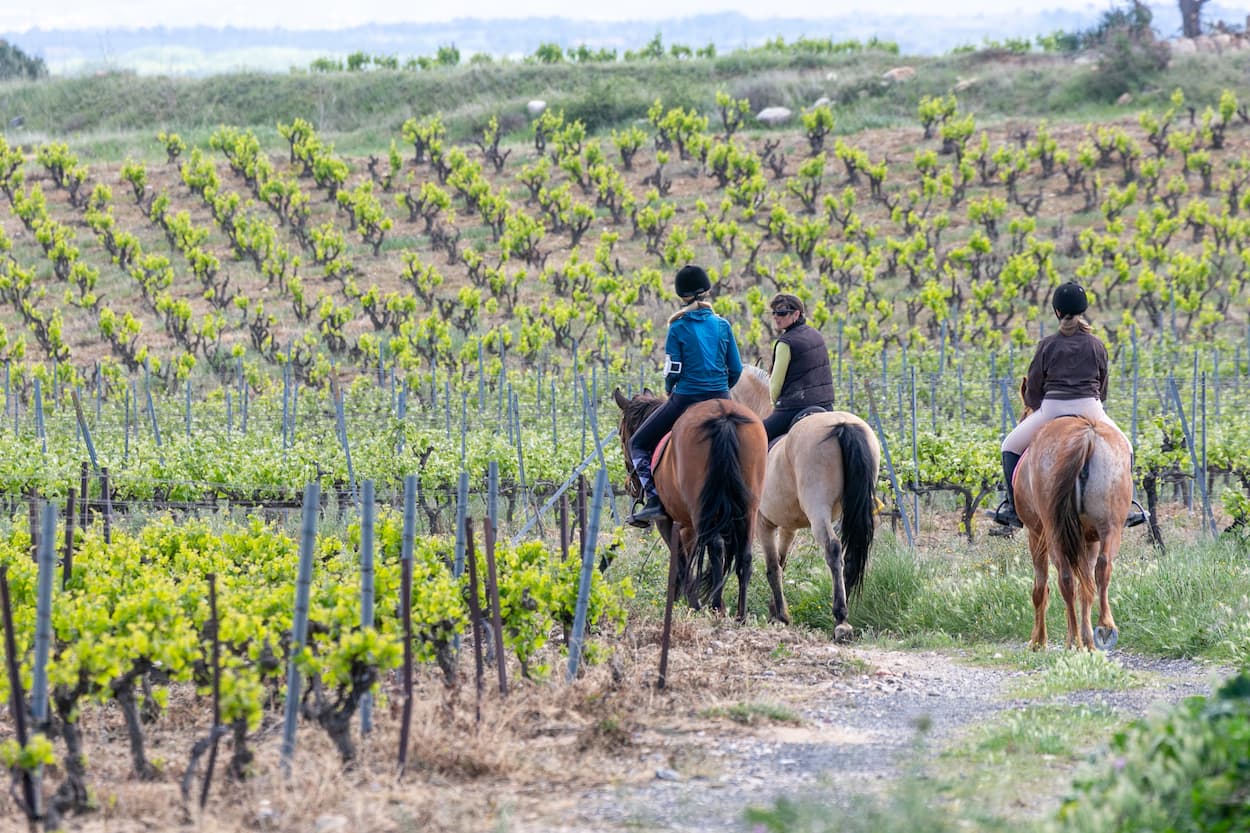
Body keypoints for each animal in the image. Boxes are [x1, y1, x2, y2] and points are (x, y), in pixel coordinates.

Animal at [613, 390, 767, 685]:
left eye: (620, 432)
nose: (629, 485)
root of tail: (723, 415)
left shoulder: (670, 522)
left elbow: (681, 561)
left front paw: (685, 600)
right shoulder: (690, 526)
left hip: (700, 509)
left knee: (716, 548)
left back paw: (716, 606)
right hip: (749, 507)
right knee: (744, 557)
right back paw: (740, 615)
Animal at [732, 366, 881, 642]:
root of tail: (842, 424)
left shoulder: (762, 523)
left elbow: (771, 567)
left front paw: (778, 615)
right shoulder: (788, 527)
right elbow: (781, 564)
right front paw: (775, 610)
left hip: (817, 508)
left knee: (832, 548)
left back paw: (841, 618)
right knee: (850, 553)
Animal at [1013, 413, 1133, 651]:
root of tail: (1087, 435)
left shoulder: (1036, 534)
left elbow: (1040, 588)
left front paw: (1038, 640)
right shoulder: (1089, 540)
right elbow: (1087, 585)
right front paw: (1088, 641)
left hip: (1054, 534)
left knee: (1065, 579)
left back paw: (1073, 640)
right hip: (1110, 527)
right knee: (1102, 568)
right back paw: (1104, 628)